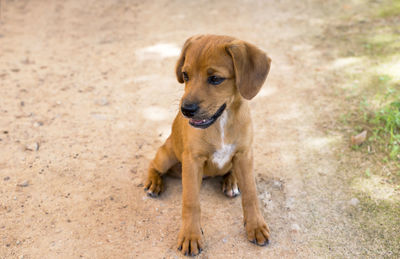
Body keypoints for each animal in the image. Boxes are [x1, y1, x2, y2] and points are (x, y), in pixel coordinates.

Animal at [144, 35, 272, 258]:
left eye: (215, 79)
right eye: (185, 75)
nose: (186, 110)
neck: (221, 121)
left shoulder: (244, 154)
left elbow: (251, 194)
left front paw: (255, 226)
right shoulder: (192, 160)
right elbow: (191, 202)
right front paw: (190, 235)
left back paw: (231, 181)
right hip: (167, 154)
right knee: (153, 164)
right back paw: (154, 183)